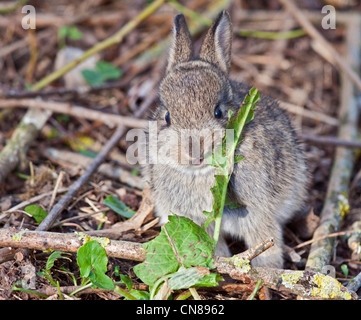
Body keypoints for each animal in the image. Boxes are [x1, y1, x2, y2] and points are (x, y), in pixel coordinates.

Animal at [141, 11, 306, 268]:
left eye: (218, 112)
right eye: (167, 117)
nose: (194, 152)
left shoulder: (258, 215)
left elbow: (266, 241)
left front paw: (268, 269)